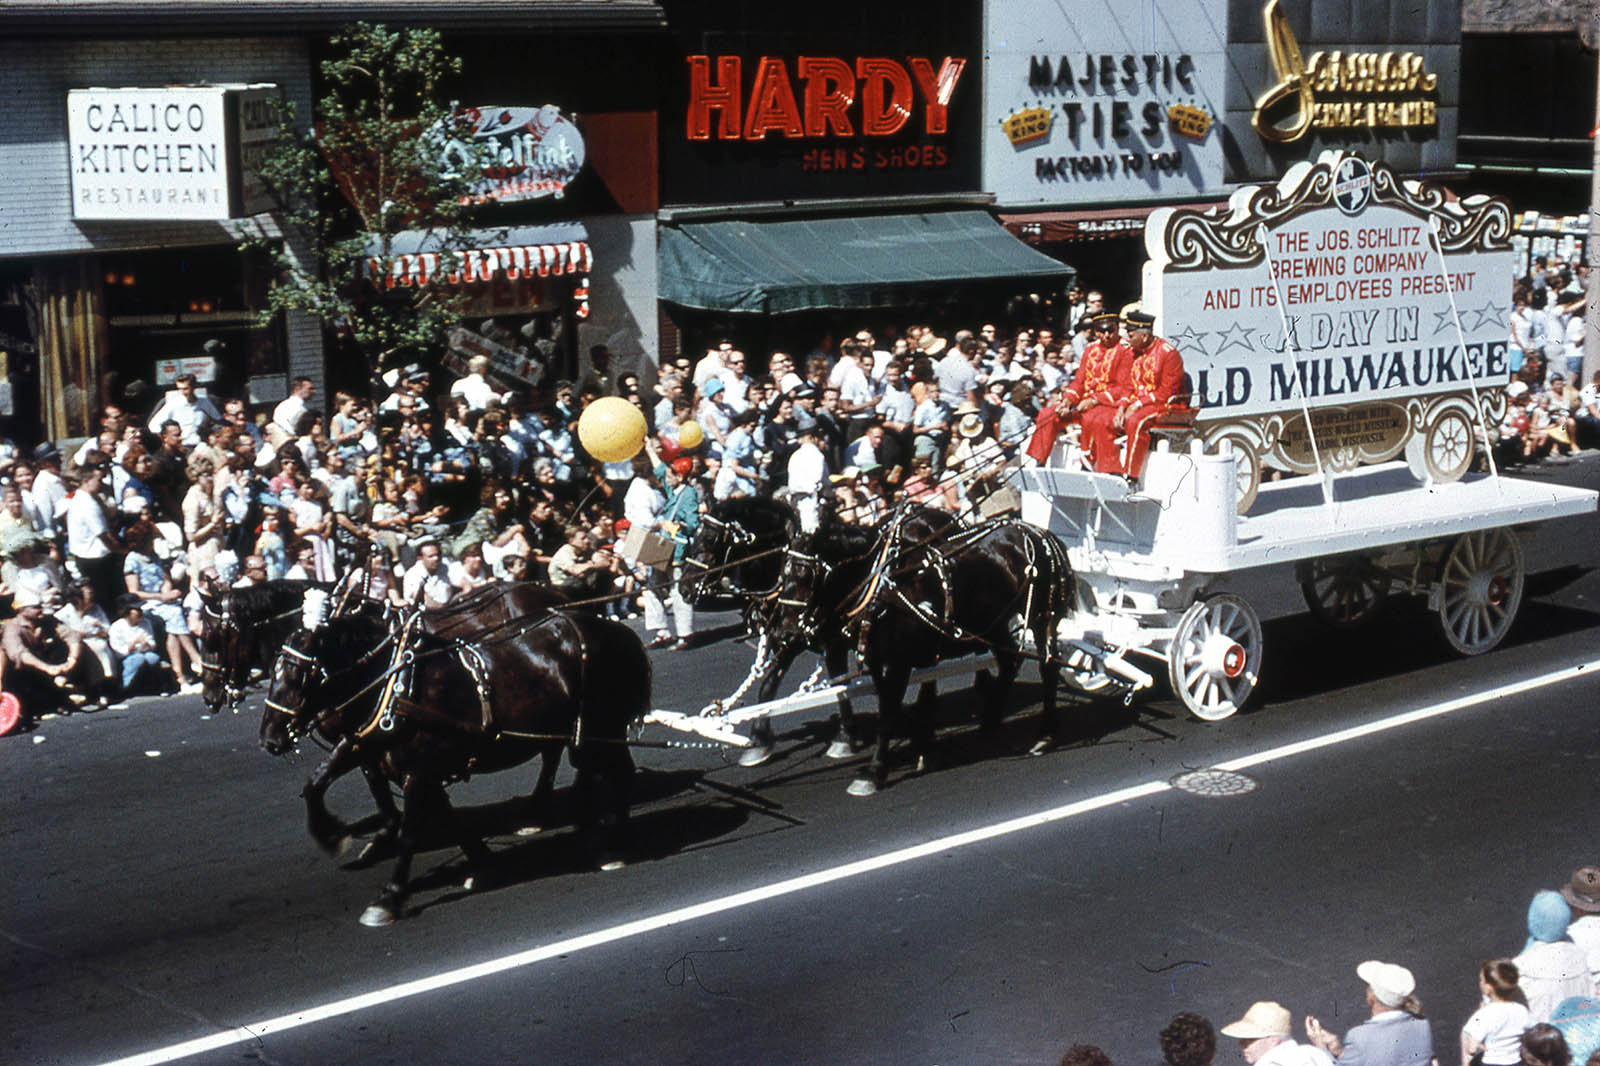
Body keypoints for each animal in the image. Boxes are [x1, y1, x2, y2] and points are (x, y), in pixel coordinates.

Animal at [256, 582, 643, 921]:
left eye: (300, 672)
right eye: (273, 668)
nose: (269, 738)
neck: (396, 684)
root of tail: (614, 629)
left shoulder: (417, 769)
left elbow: (410, 831)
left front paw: (389, 896)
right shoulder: (370, 746)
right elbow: (319, 783)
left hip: (601, 726)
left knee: (613, 770)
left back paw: (610, 843)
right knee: (588, 765)